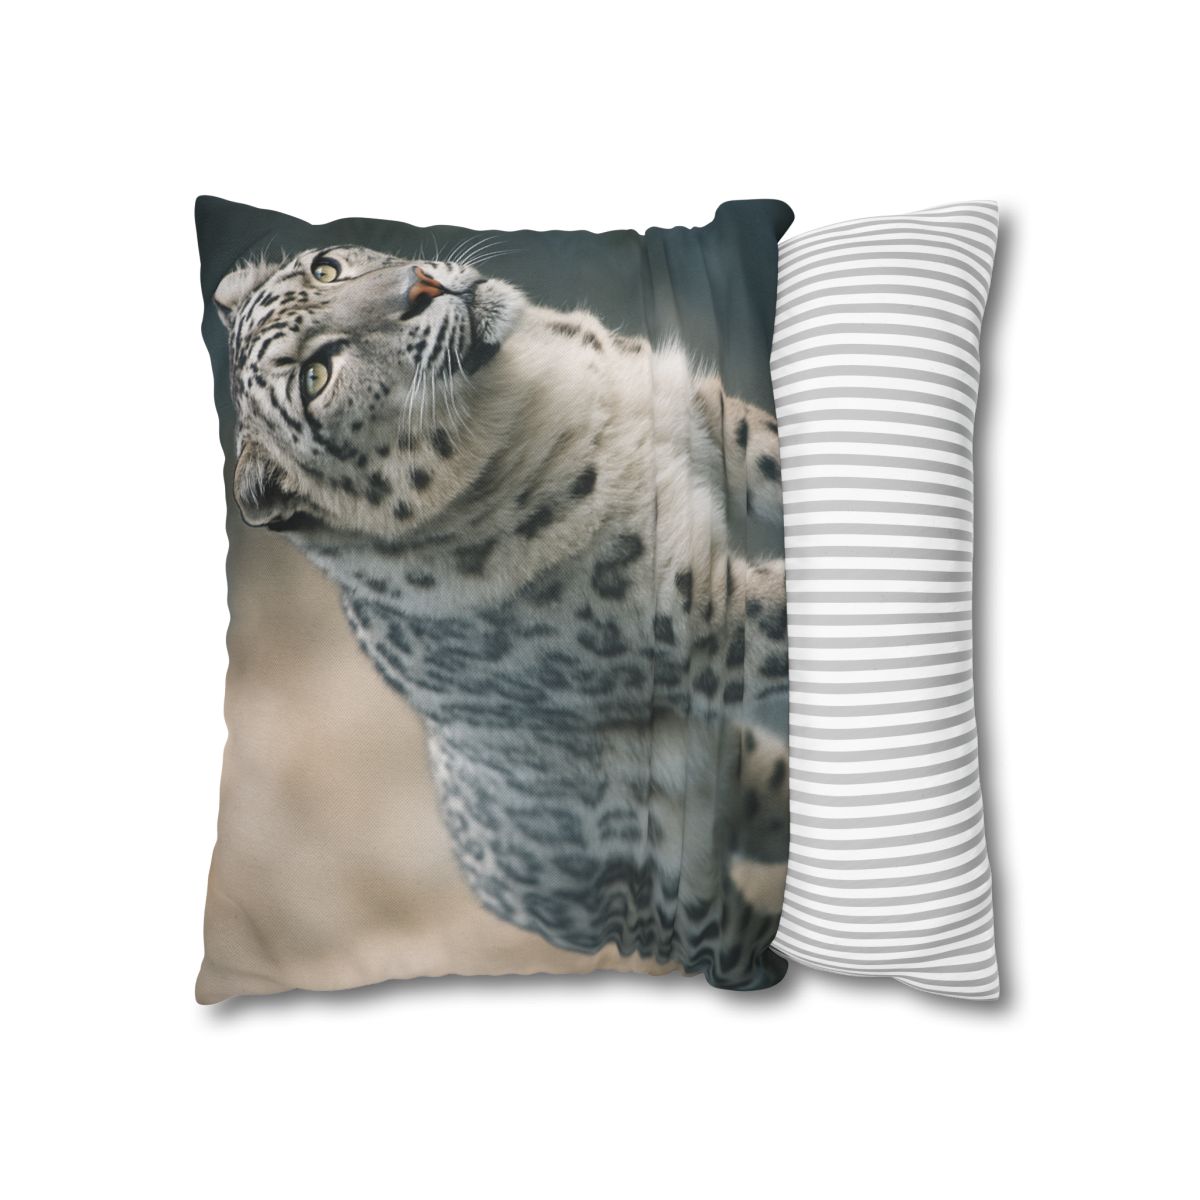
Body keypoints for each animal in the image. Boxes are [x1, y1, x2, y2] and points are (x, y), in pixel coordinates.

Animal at [214, 243, 792, 988]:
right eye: (315, 375)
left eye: (325, 267)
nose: (419, 288)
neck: (537, 401)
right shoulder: (703, 623)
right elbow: (787, 607)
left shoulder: (707, 416)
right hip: (678, 903)